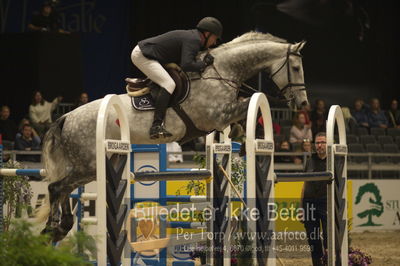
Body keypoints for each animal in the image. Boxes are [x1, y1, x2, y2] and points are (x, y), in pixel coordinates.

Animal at [38, 31, 306, 241]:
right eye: (295, 68)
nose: (303, 103)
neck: (221, 71)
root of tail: (65, 118)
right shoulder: (215, 116)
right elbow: (250, 101)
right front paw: (243, 131)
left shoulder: (220, 117)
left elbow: (244, 108)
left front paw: (239, 133)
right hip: (89, 164)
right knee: (55, 187)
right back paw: (52, 227)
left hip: (89, 165)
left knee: (64, 188)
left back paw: (61, 227)